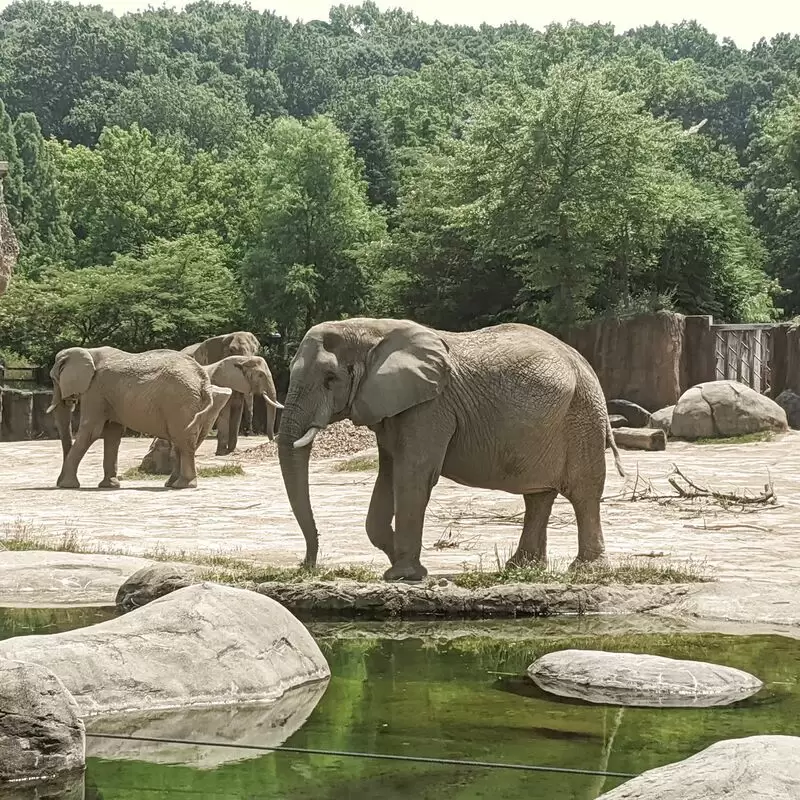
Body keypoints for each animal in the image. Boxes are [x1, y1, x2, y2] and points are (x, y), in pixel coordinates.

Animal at [48, 348, 231, 490]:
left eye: (54, 379)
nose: (57, 482)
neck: (88, 351)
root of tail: (203, 379)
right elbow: (113, 433)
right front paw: (109, 486)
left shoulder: (95, 390)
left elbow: (91, 430)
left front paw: (66, 485)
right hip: (190, 403)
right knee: (181, 440)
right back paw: (172, 484)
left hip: (180, 401)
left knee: (183, 440)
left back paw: (183, 485)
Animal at [278, 318, 620, 580]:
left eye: (330, 379)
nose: (306, 566)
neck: (370, 330)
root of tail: (584, 362)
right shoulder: (394, 408)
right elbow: (388, 473)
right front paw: (401, 561)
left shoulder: (430, 407)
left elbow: (412, 475)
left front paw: (403, 574)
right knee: (538, 496)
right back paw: (522, 567)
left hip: (582, 415)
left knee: (583, 492)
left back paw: (586, 570)